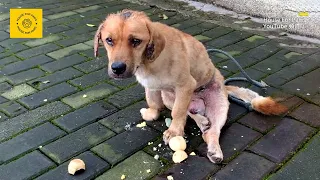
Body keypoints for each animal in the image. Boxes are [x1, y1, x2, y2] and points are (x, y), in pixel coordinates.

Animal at [93, 9, 288, 162]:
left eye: (135, 41)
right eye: (109, 40)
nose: (117, 69)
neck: (148, 62)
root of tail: (225, 87)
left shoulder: (186, 85)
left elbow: (178, 112)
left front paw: (174, 131)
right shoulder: (152, 87)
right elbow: (155, 105)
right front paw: (151, 114)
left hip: (219, 106)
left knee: (210, 130)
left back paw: (214, 148)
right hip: (169, 97)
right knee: (193, 115)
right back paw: (202, 121)